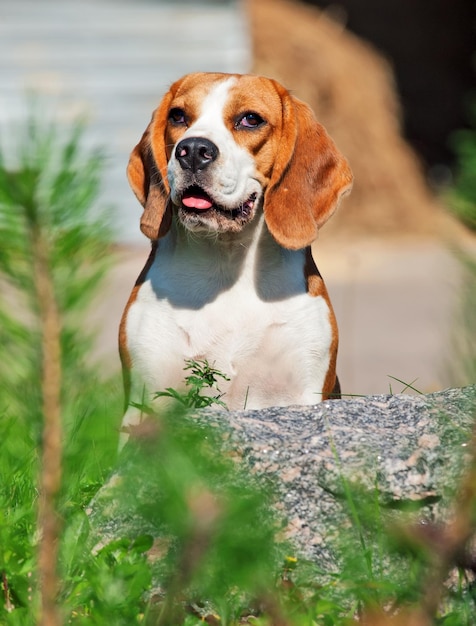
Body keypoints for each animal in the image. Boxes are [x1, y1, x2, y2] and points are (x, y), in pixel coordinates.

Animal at [118, 70, 352, 436]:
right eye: (178, 116)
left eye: (250, 119)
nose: (193, 150)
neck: (225, 262)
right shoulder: (146, 398)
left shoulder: (302, 389)